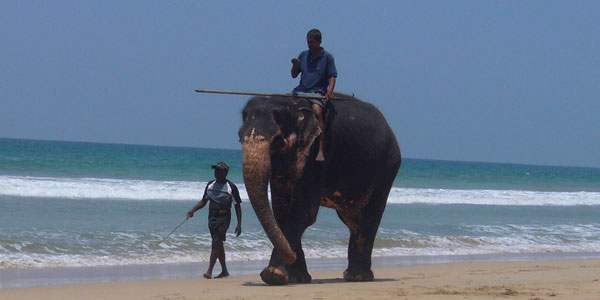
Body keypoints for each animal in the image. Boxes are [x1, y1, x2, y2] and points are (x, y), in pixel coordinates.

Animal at [237, 92, 400, 284]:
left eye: (277, 141)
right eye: (239, 137)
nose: (290, 255)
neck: (293, 104)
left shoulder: (317, 153)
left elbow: (303, 212)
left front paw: (273, 274)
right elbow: (281, 211)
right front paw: (296, 278)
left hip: (387, 167)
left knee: (369, 216)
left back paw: (358, 277)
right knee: (353, 220)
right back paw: (352, 275)